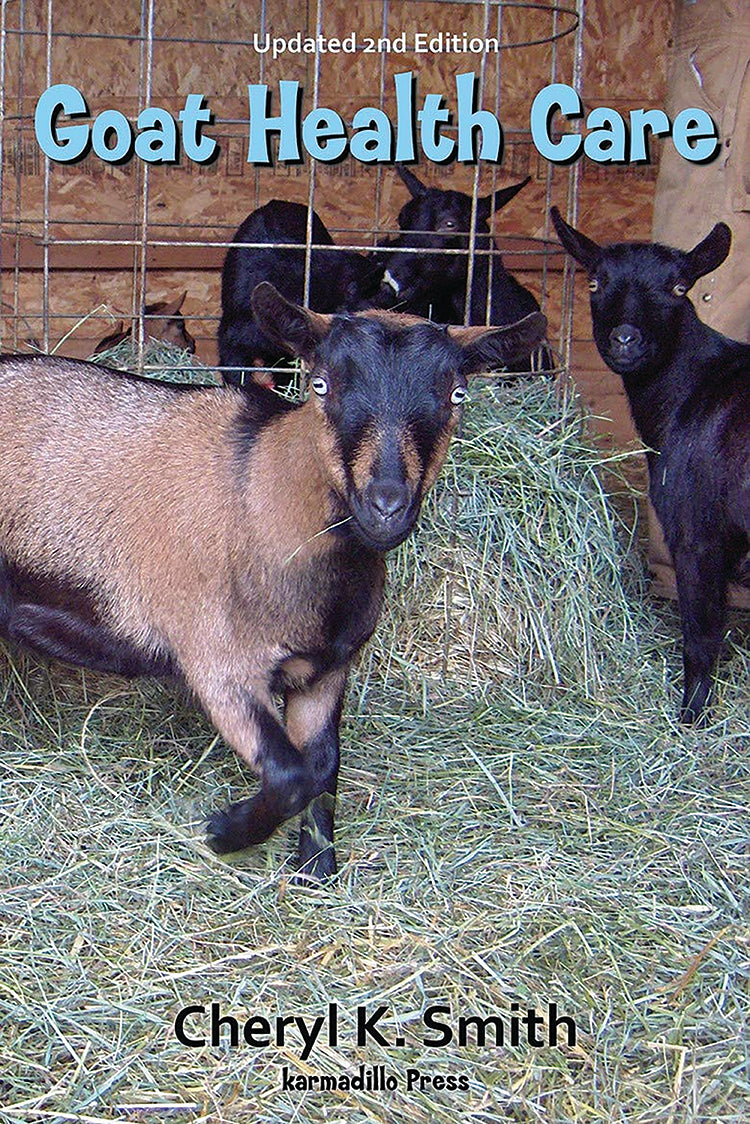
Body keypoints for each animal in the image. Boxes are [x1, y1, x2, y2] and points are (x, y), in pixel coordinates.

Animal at [0, 283, 546, 878]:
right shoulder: (219, 661)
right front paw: (224, 833)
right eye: (321, 384)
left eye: (457, 395)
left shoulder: (325, 670)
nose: (385, 505)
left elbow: (323, 765)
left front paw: (316, 868)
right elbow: (292, 774)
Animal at [551, 206, 749, 723]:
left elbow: (701, 636)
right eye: (595, 281)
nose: (625, 339)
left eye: (679, 287)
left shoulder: (697, 530)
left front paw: (690, 717)